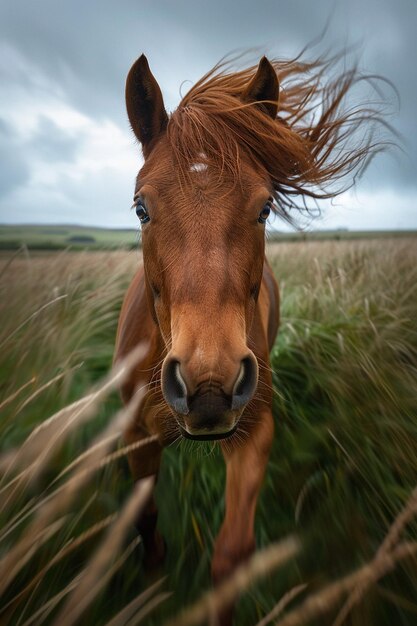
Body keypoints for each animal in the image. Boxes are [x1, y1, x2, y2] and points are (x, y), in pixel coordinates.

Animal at [114, 52, 386, 620]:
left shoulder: (254, 432)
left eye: (264, 208)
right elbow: (144, 517)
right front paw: (152, 581)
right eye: (141, 208)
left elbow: (232, 557)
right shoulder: (136, 438)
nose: (208, 386)